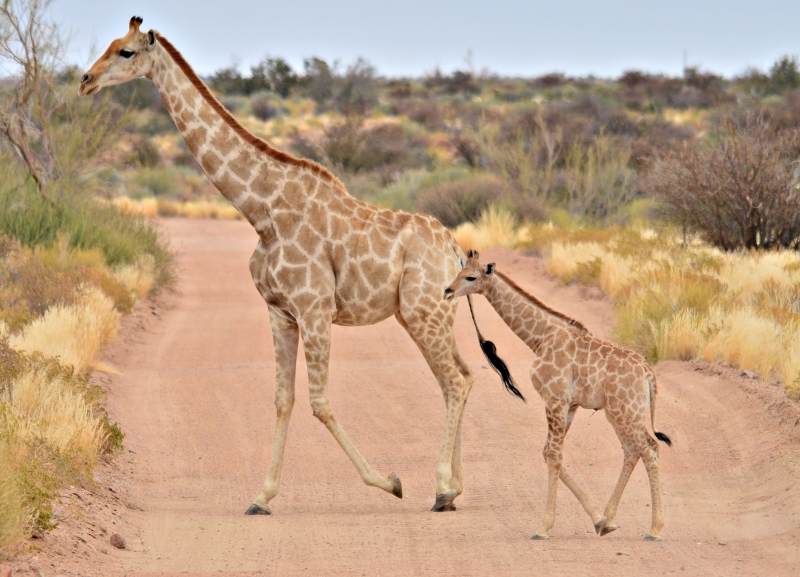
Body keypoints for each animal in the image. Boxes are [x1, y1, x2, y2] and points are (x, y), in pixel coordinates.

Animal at [78, 16, 518, 515]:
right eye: (110, 44)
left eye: (126, 52)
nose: (85, 80)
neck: (262, 209)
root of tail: (456, 251)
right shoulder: (280, 312)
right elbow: (283, 399)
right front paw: (261, 497)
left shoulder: (314, 309)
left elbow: (319, 401)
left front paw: (389, 481)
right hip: (423, 314)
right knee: (461, 377)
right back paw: (455, 487)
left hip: (424, 312)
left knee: (456, 381)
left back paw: (442, 488)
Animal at [444, 251, 672, 540]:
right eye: (459, 272)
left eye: (471, 277)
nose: (448, 291)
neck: (540, 337)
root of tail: (648, 373)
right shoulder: (569, 405)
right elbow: (549, 452)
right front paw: (598, 520)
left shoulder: (554, 398)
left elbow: (553, 454)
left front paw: (543, 527)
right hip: (618, 412)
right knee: (634, 450)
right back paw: (611, 518)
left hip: (626, 411)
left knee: (649, 450)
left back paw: (655, 528)